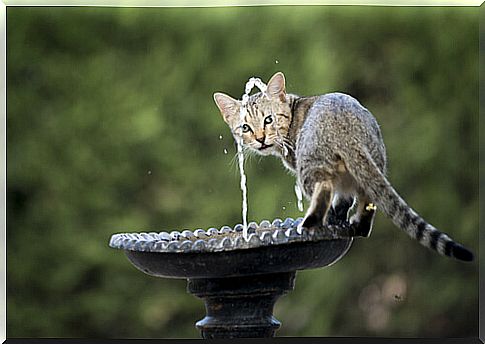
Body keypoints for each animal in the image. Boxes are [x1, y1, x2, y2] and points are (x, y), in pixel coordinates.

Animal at [213, 71, 472, 262]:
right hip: (373, 162)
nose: (260, 139)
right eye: (245, 128)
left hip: (310, 168)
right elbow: (345, 200)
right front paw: (338, 218)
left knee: (325, 189)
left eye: (269, 120)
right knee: (367, 198)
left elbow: (337, 196)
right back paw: (358, 225)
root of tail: (346, 128)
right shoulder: (347, 180)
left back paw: (309, 223)